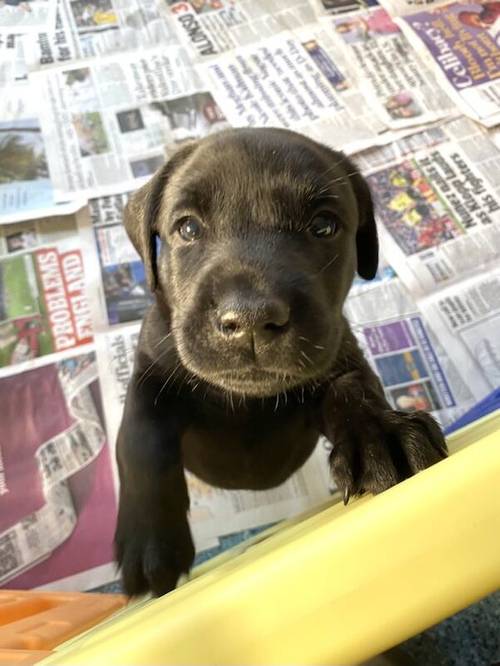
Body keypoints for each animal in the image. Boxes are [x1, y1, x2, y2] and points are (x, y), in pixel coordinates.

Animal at [115, 127, 448, 592]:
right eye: (187, 228)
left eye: (324, 226)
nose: (250, 317)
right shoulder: (151, 371)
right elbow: (140, 440)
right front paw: (151, 540)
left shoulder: (341, 353)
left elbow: (354, 388)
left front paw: (382, 434)